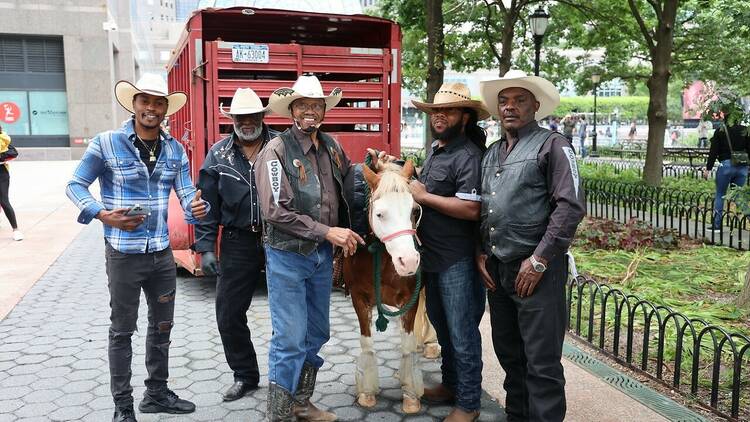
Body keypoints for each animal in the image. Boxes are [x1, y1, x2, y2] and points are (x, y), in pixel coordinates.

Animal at [344, 160, 426, 414]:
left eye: (414, 211)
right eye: (380, 214)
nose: (408, 262)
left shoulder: (411, 298)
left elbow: (407, 344)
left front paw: (411, 395)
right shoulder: (358, 297)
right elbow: (367, 343)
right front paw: (367, 392)